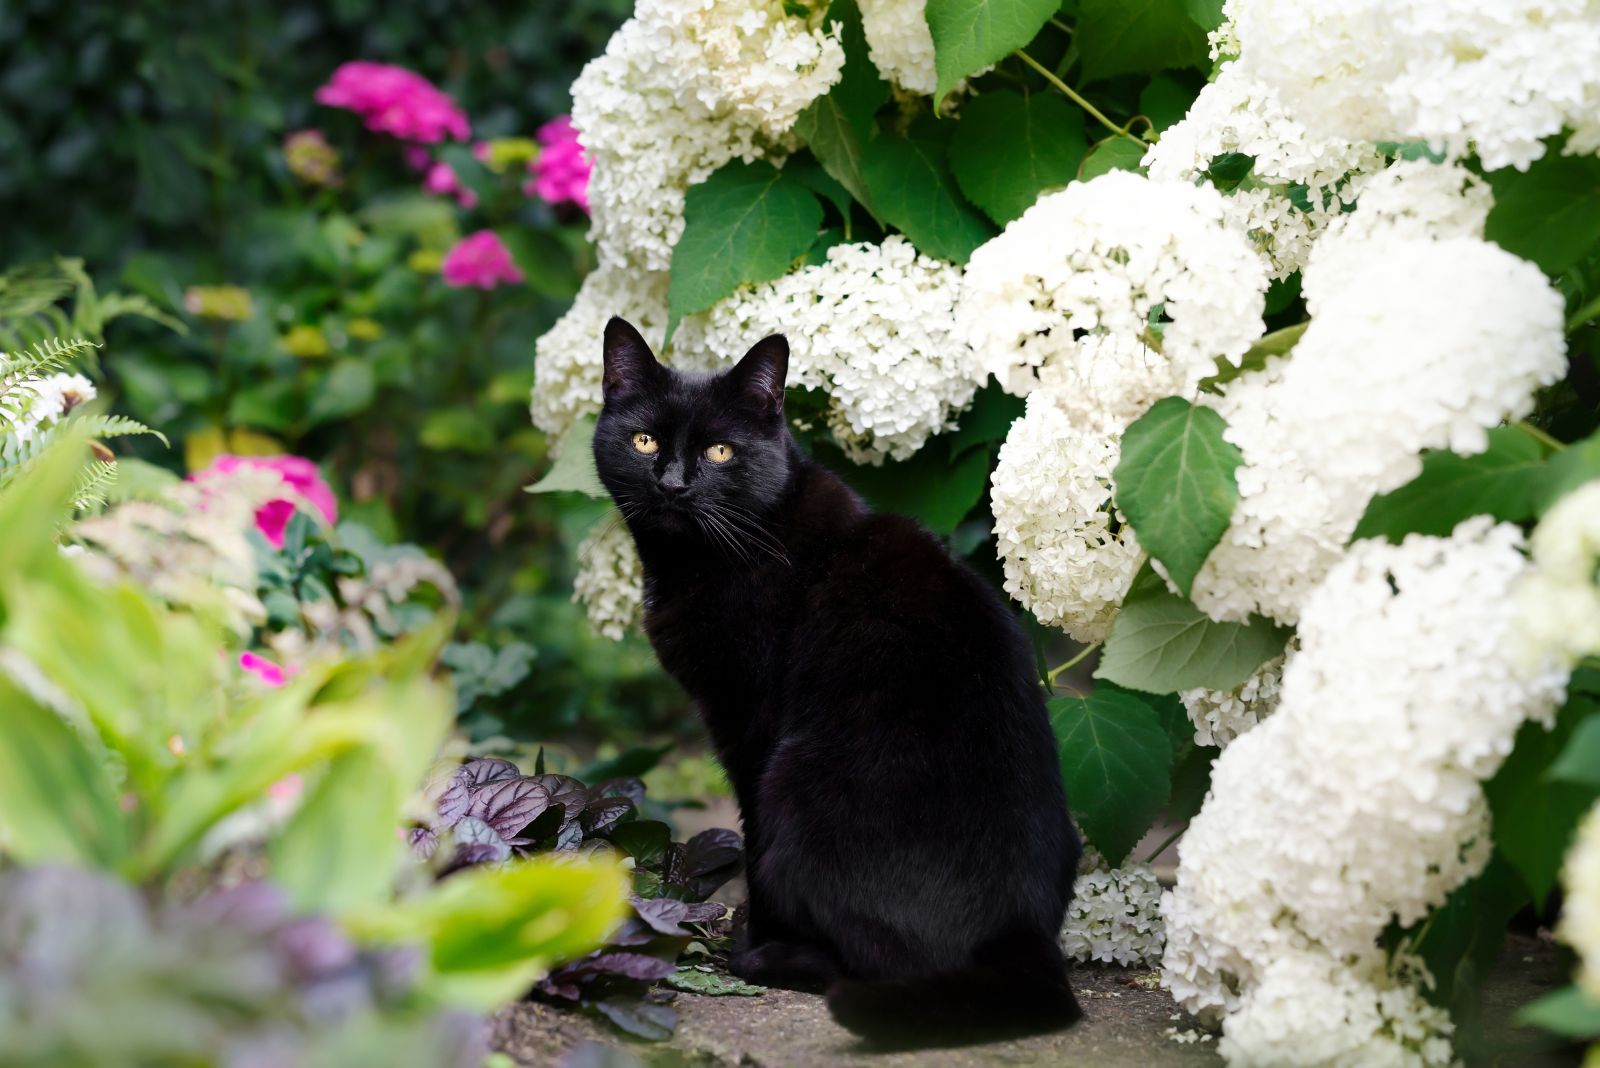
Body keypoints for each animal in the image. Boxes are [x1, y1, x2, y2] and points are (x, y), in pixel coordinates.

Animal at [595, 314, 1081, 1042]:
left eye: (720, 452)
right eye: (644, 440)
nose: (674, 483)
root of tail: (1021, 932)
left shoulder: (750, 723)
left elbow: (752, 838)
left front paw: (755, 934)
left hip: (797, 781)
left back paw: (766, 955)